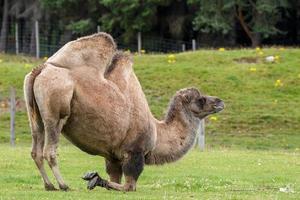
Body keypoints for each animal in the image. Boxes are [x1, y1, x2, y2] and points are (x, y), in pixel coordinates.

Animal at [23, 32, 224, 191]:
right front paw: (94, 179)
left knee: (36, 149)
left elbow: (114, 177)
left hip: (34, 113)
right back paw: (63, 185)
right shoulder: (134, 152)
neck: (158, 132)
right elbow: (129, 186)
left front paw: (94, 178)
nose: (220, 102)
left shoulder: (113, 157)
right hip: (56, 110)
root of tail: (41, 69)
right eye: (201, 100)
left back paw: (49, 185)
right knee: (50, 150)